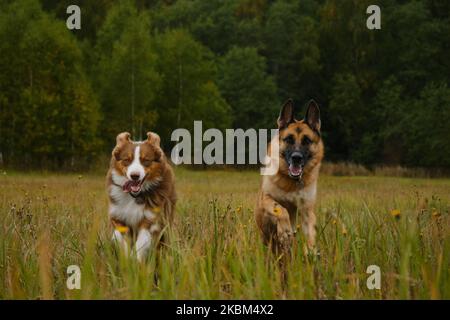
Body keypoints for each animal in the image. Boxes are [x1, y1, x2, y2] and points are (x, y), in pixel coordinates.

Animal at [106, 131, 176, 262]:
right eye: (127, 160)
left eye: (146, 160)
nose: (135, 176)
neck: (134, 196)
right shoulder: (118, 215)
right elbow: (119, 237)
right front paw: (125, 259)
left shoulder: (151, 219)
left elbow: (141, 244)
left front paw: (135, 261)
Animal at [256, 99, 324, 254]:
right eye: (289, 139)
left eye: (306, 141)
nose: (296, 158)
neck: (292, 182)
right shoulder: (266, 199)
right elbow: (281, 209)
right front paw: (285, 230)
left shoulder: (306, 210)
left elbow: (310, 232)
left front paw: (311, 250)